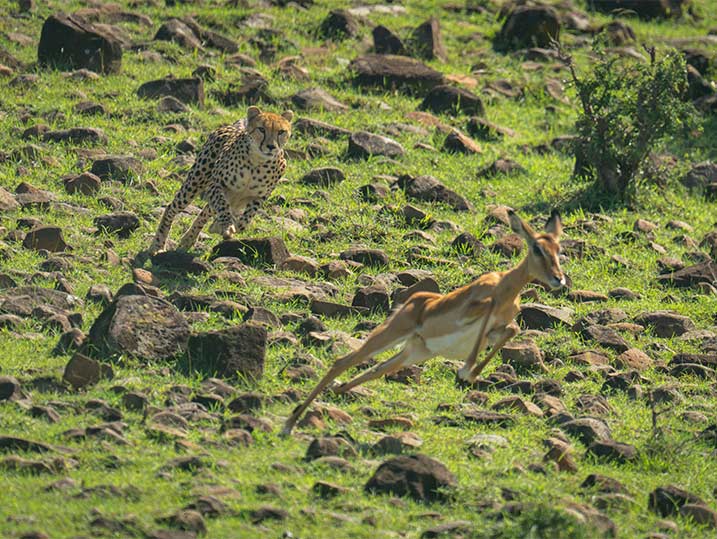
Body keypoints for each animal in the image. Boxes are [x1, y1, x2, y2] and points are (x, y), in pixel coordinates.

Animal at [147, 106, 293, 255]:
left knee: (206, 211)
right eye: (261, 129)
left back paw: (189, 239)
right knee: (172, 207)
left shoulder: (259, 197)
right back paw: (158, 244)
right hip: (195, 182)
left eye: (281, 132)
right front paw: (226, 225)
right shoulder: (216, 185)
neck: (257, 162)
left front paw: (222, 226)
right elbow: (222, 205)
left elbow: (245, 220)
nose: (271, 146)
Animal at [282, 210, 565, 436]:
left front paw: (469, 372)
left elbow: (513, 329)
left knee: (375, 370)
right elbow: (492, 311)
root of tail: (412, 301)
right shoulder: (473, 311)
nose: (558, 279)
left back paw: (334, 394)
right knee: (342, 362)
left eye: (559, 250)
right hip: (390, 334)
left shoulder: (496, 331)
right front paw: (466, 370)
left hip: (415, 352)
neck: (506, 287)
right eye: (537, 248)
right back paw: (289, 424)